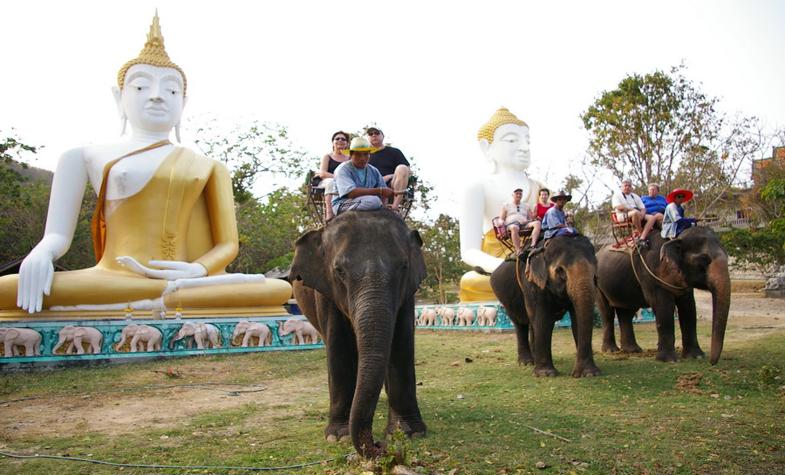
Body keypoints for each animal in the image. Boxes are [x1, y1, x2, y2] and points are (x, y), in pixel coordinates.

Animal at [288, 210, 426, 460]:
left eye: (404, 266)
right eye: (339, 270)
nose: (380, 446)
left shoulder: (408, 293)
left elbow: (401, 344)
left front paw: (409, 433)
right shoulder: (326, 293)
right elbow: (340, 348)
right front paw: (338, 436)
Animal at [490, 236, 600, 378]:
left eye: (595, 271)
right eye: (560, 271)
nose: (575, 374)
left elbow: (577, 318)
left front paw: (589, 374)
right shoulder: (532, 282)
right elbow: (543, 318)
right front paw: (546, 374)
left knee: (531, 323)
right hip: (507, 300)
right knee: (521, 324)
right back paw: (526, 363)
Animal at [596, 227, 732, 364]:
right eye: (704, 260)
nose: (711, 362)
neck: (677, 237)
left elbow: (688, 308)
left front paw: (696, 356)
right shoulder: (651, 275)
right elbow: (663, 306)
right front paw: (669, 360)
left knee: (626, 312)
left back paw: (632, 350)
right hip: (598, 285)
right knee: (607, 313)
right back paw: (611, 350)